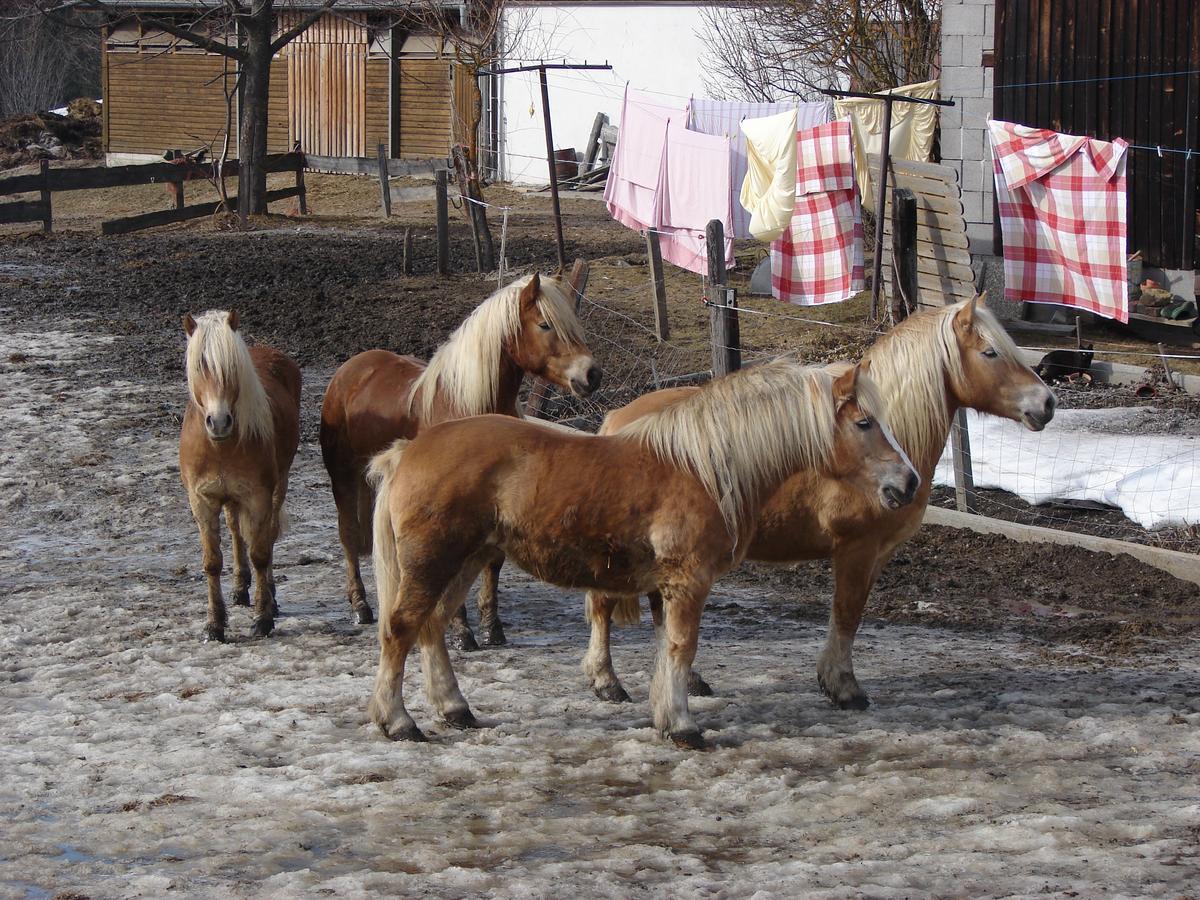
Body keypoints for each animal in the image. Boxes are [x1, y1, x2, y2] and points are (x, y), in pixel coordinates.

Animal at [182, 309, 307, 643]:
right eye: (200, 365)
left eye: (231, 368)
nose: (219, 422)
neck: (220, 447)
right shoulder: (203, 501)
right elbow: (213, 562)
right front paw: (215, 624)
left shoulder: (258, 498)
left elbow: (261, 552)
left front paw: (263, 619)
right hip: (229, 499)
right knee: (237, 532)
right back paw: (240, 588)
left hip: (278, 486)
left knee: (267, 535)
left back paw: (270, 596)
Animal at [319, 274, 600, 643]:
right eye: (544, 324)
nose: (592, 375)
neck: (465, 405)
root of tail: (351, 369)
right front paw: (462, 631)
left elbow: (493, 562)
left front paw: (491, 627)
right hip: (342, 478)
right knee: (349, 536)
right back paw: (360, 607)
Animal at [364, 360, 916, 748]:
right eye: (865, 423)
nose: (908, 483)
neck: (701, 466)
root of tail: (406, 451)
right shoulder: (688, 582)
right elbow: (681, 649)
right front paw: (683, 727)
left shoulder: (662, 587)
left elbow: (665, 650)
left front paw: (664, 716)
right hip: (433, 563)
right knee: (400, 630)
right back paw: (398, 721)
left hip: (466, 562)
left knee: (432, 627)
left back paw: (455, 709)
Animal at [580, 296, 1060, 710]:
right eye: (991, 352)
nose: (1049, 403)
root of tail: (614, 422)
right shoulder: (855, 549)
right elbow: (846, 614)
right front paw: (843, 687)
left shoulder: (877, 555)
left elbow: (853, 614)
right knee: (604, 605)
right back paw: (606, 682)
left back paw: (691, 681)